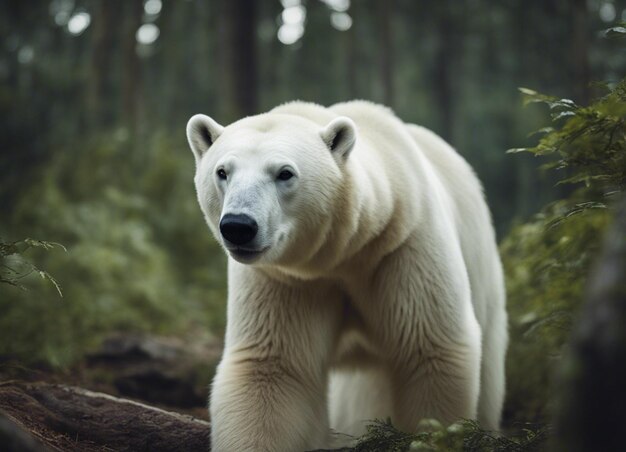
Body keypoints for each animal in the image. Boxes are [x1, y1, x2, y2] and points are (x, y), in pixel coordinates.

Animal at [185, 100, 508, 450]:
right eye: (222, 172)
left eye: (284, 173)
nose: (238, 226)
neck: (344, 253)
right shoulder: (286, 278)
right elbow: (273, 367)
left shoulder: (404, 248)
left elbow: (429, 349)